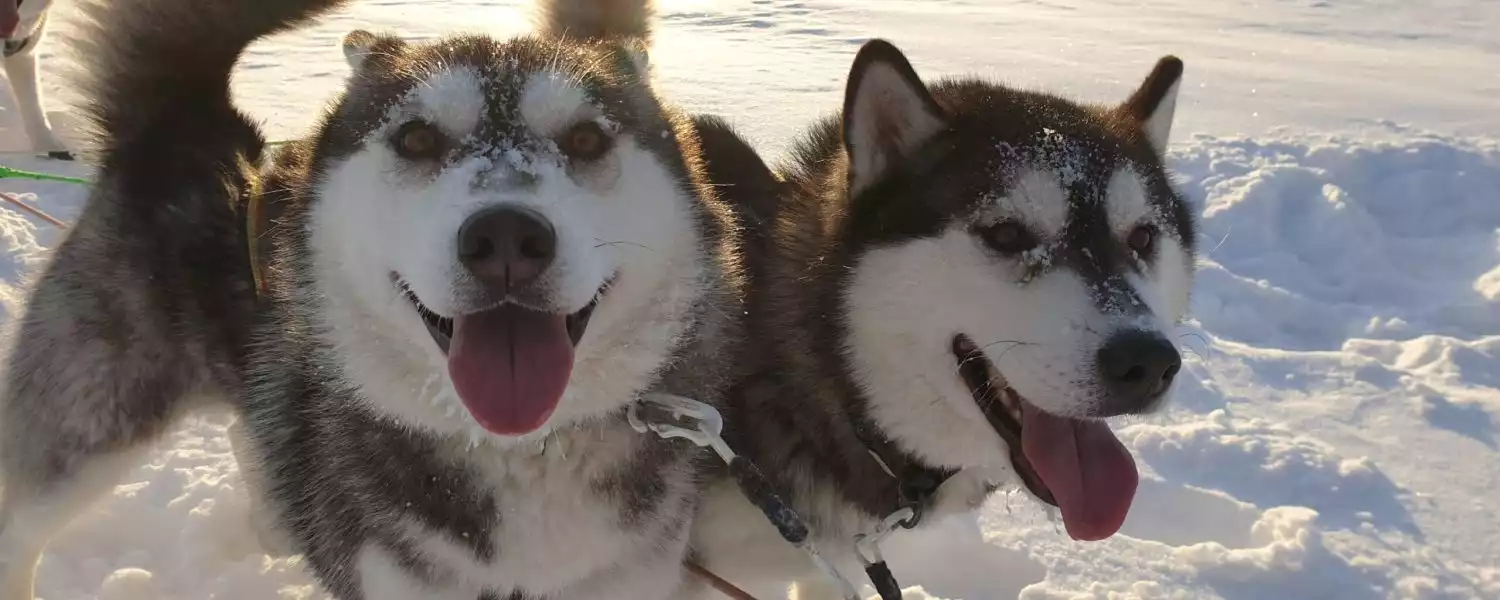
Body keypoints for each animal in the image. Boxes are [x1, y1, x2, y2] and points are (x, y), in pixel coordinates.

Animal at [0, 0, 747, 597]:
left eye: (586, 138)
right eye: (416, 137)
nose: (507, 237)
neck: (518, 453)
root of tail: (186, 123)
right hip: (93, 419)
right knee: (21, 528)